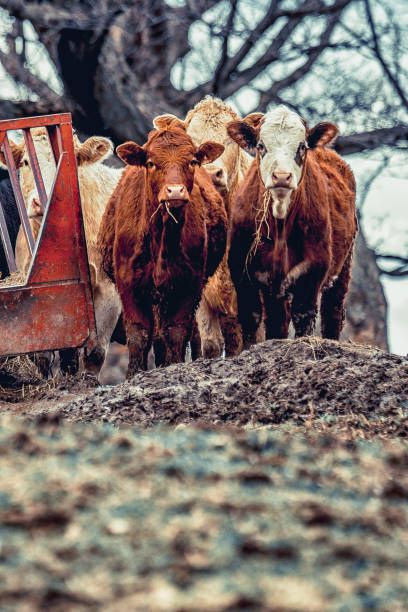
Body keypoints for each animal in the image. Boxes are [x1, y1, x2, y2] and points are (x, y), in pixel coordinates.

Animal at [97, 124, 228, 376]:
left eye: (192, 161)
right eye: (150, 163)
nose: (174, 192)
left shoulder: (189, 283)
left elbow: (176, 331)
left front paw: (173, 365)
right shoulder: (129, 283)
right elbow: (139, 333)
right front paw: (134, 373)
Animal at [226, 105, 356, 350]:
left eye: (302, 146)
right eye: (261, 145)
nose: (281, 177)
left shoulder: (314, 269)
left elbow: (304, 316)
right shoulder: (241, 270)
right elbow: (251, 317)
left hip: (342, 268)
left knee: (333, 311)